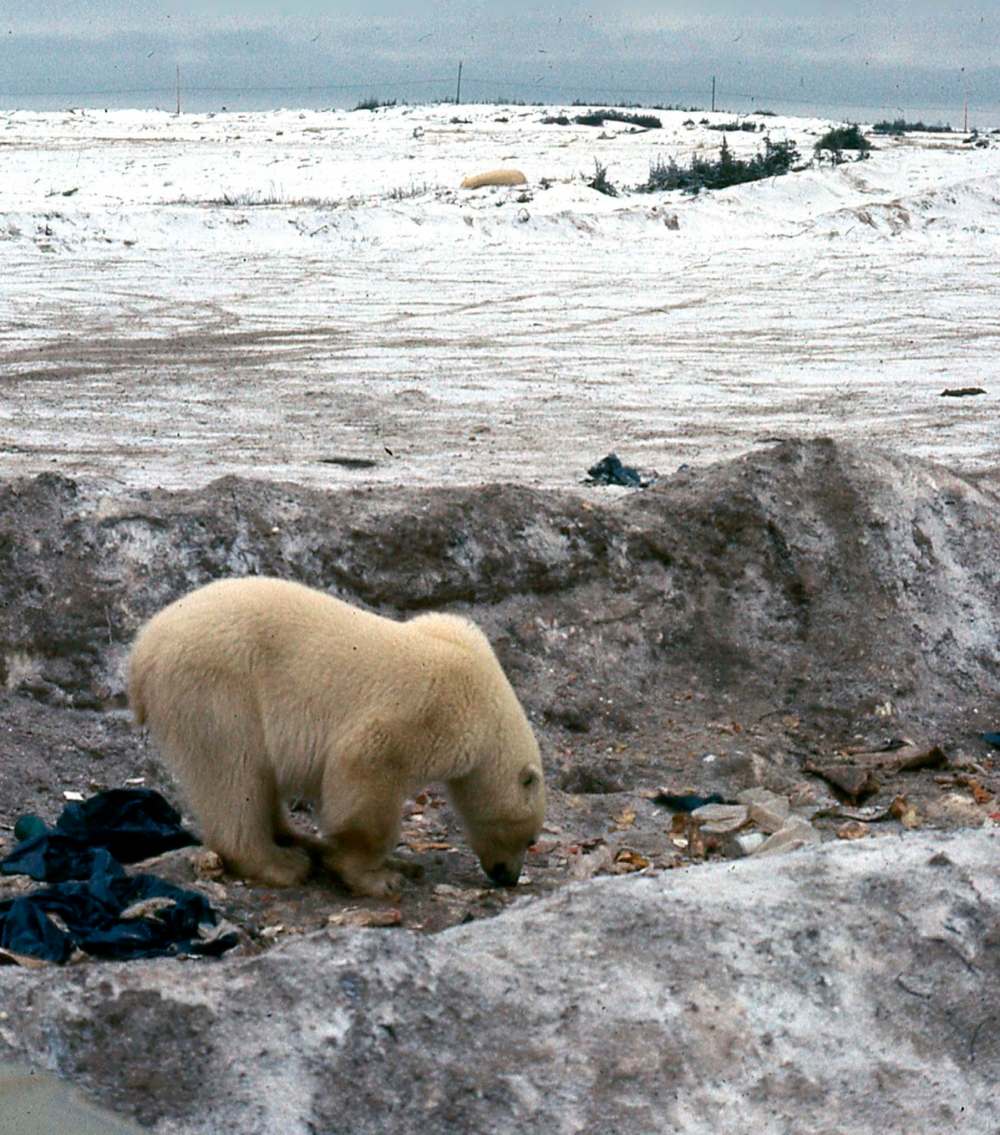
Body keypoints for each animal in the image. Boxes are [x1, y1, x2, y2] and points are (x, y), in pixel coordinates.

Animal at [127, 577, 545, 897]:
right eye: (531, 839)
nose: (506, 876)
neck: (486, 694)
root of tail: (142, 650)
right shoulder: (430, 713)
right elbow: (363, 770)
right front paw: (378, 876)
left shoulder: (453, 627)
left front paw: (399, 864)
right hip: (217, 687)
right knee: (234, 772)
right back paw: (281, 863)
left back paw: (297, 839)